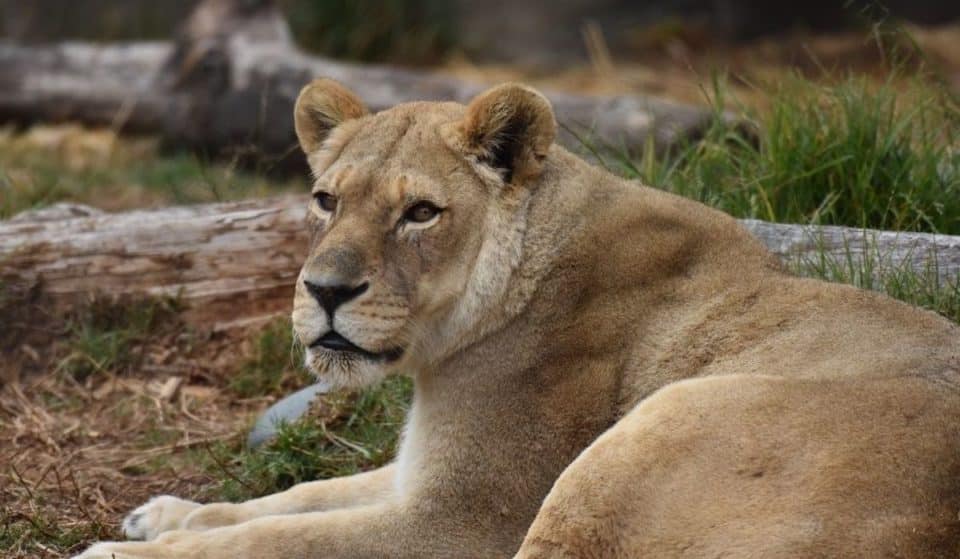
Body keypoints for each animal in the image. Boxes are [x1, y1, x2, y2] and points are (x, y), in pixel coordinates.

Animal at [75, 80, 960, 559]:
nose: (323, 290)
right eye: (326, 200)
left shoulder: (460, 521)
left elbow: (271, 538)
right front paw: (162, 514)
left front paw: (115, 547)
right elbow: (294, 496)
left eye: (421, 213)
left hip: (656, 427)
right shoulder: (419, 476)